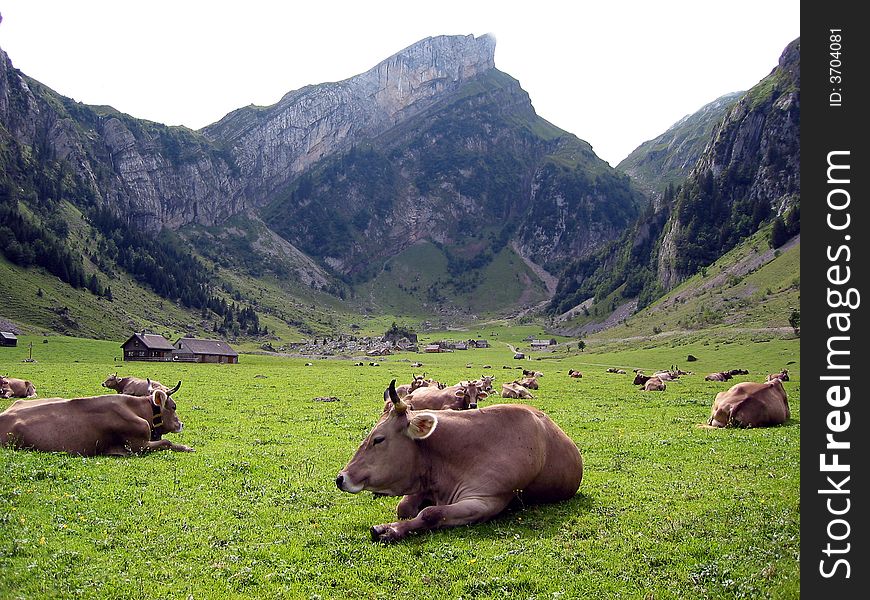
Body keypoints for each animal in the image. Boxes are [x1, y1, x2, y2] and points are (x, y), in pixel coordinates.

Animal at [338, 380, 584, 544]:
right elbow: (404, 506)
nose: (341, 478)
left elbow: (430, 513)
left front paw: (389, 530)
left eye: (378, 439)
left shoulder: (485, 501)